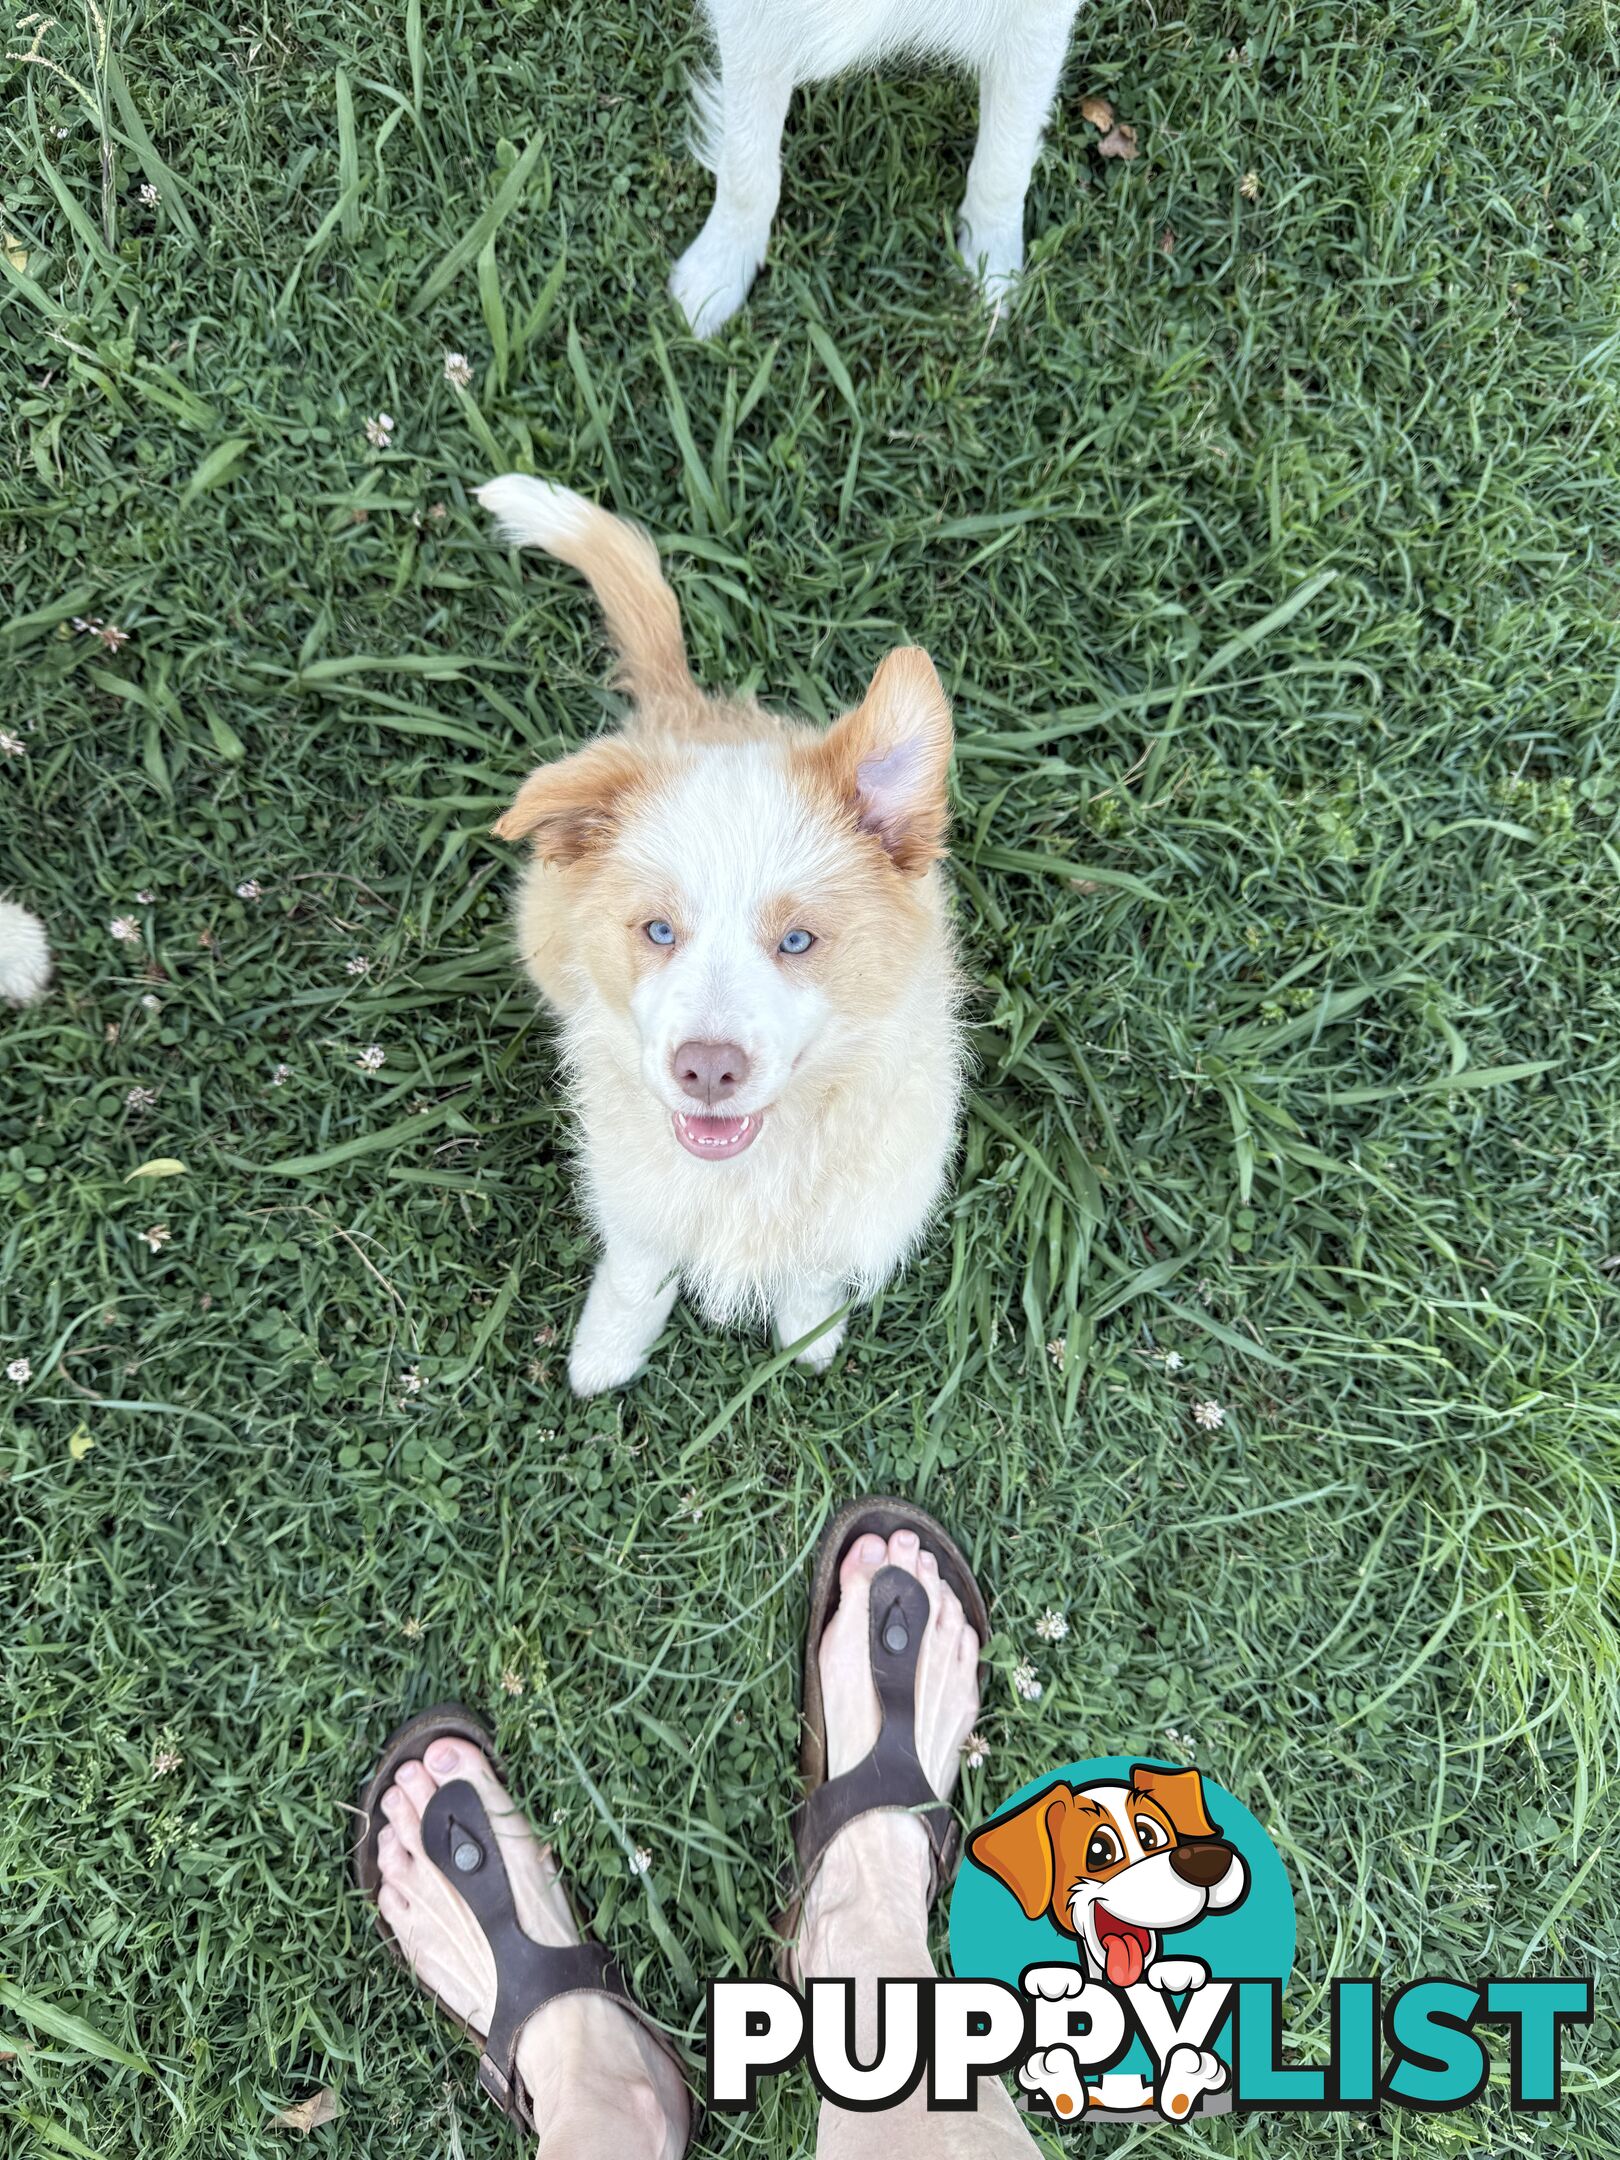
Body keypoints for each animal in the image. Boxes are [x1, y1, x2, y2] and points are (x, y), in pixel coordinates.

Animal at [481, 468, 963, 1399]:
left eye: (799, 942)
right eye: (658, 929)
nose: (705, 1071)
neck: (752, 1163)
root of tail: (683, 714)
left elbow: (812, 1266)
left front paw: (808, 1331)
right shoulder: (638, 1192)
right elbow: (637, 1271)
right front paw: (604, 1357)